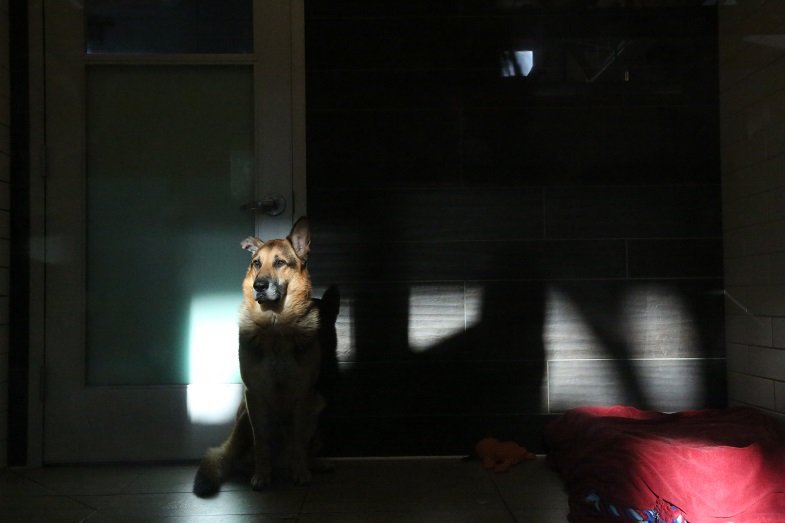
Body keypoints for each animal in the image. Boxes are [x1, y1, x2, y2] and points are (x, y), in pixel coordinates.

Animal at [192, 219, 336, 498]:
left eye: (280, 262)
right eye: (256, 263)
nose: (259, 286)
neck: (275, 324)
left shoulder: (304, 395)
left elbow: (300, 441)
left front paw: (301, 473)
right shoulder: (255, 396)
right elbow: (261, 443)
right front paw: (262, 476)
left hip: (317, 403)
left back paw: (313, 464)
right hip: (243, 417)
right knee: (233, 459)